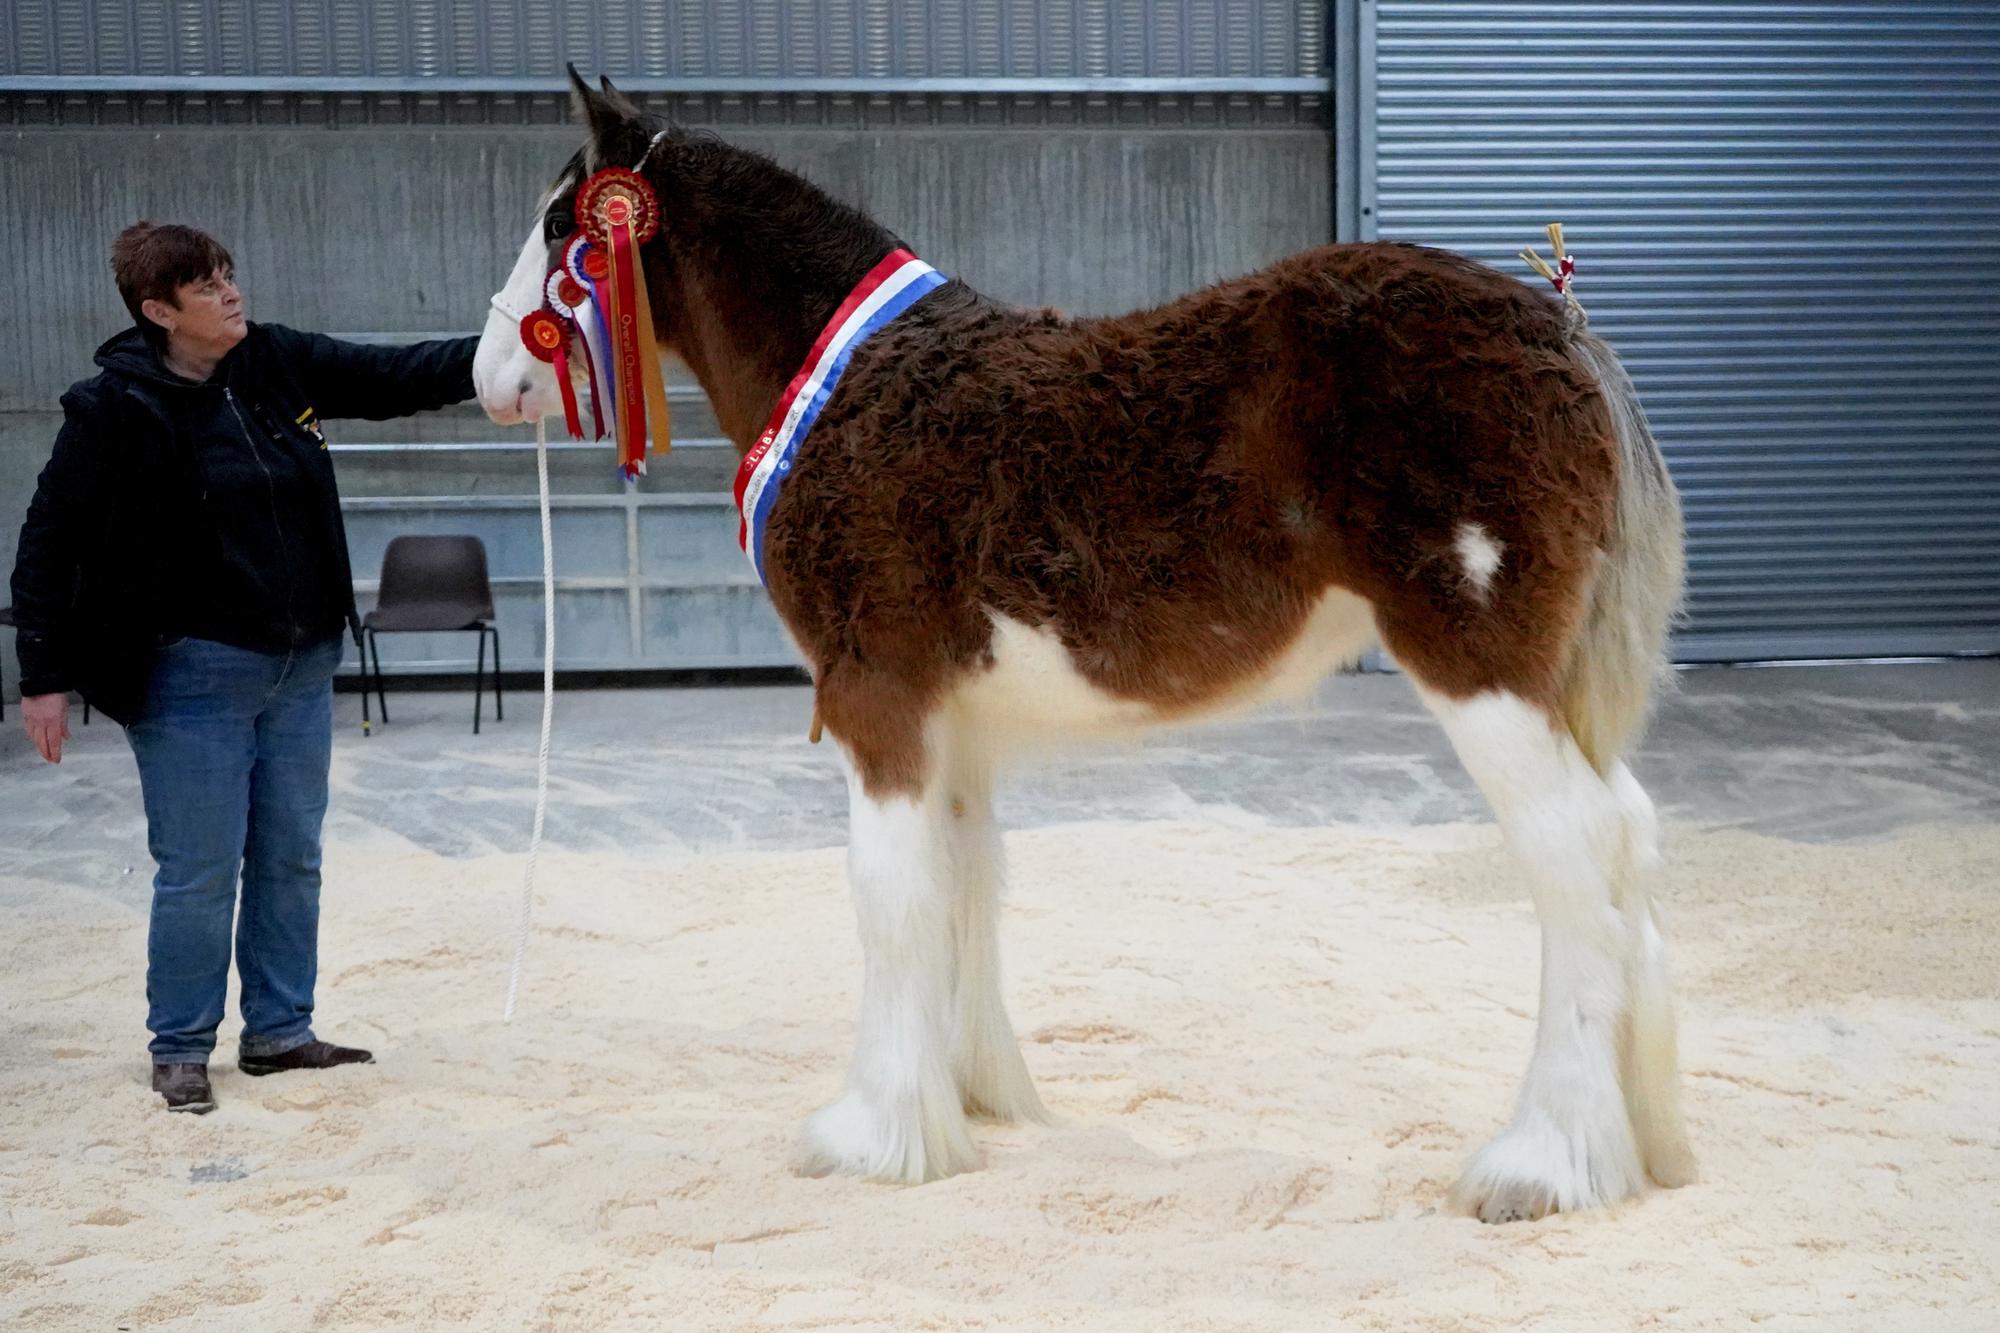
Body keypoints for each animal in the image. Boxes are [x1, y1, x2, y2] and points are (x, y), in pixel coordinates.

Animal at [471, 73, 1696, 1224]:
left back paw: (1543, 1162)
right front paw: (970, 1102)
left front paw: (873, 1135)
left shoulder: (876, 698)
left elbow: (887, 896)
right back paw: (1639, 1143)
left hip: (1481, 669)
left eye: (560, 227)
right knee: (1631, 839)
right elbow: (964, 880)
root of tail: (1562, 330)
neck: (855, 383)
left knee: (1575, 855)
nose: (490, 375)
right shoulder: (950, 721)